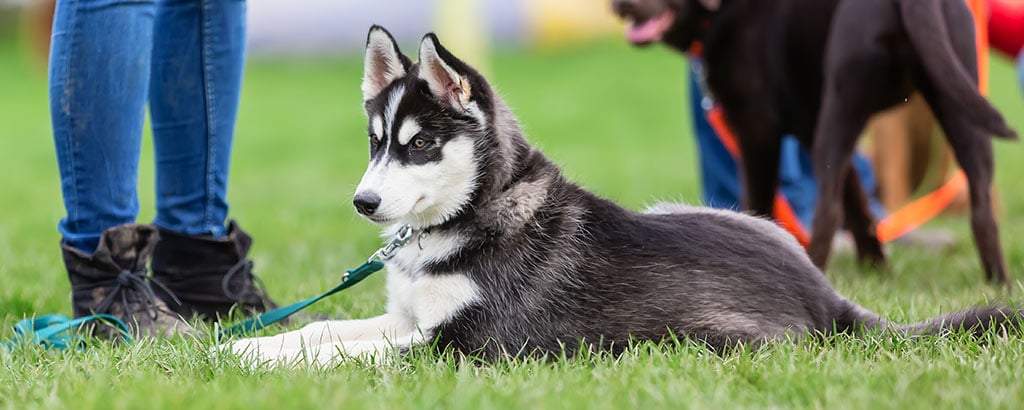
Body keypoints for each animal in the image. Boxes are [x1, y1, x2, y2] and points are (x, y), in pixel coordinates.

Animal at [610, 0, 1019, 282]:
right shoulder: (808, 131)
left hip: (840, 107)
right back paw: (997, 282)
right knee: (982, 206)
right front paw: (877, 270)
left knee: (826, 212)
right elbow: (859, 207)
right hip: (959, 102)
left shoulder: (758, 131)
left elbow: (759, 202)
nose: (621, 5)